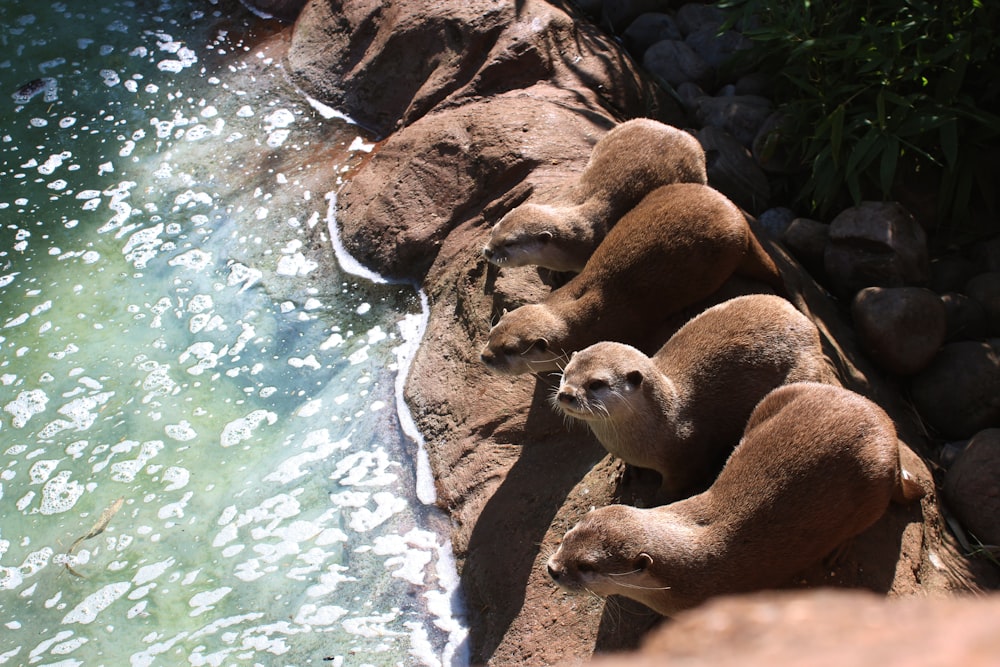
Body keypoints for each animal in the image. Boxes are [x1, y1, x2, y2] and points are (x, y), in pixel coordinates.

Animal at [544, 384, 924, 620]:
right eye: (567, 536)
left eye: (588, 567)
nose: (552, 569)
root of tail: (888, 428)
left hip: (874, 476)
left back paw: (840, 548)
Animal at [552, 294, 832, 498]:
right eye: (565, 374)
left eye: (596, 383)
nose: (566, 395)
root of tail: (808, 324)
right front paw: (626, 470)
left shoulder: (685, 458)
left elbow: (676, 486)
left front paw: (656, 500)